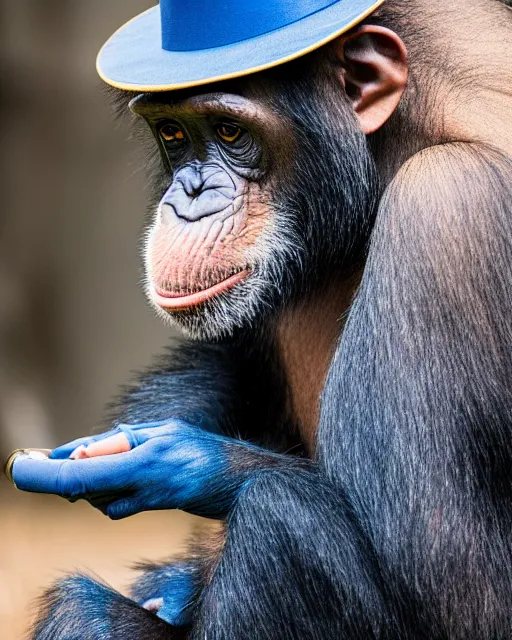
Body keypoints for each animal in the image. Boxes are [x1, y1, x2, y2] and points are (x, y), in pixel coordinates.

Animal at [9, 0, 512, 636]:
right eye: (174, 133)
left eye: (230, 132)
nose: (189, 196)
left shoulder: (445, 209)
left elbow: (450, 576)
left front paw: (180, 459)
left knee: (276, 518)